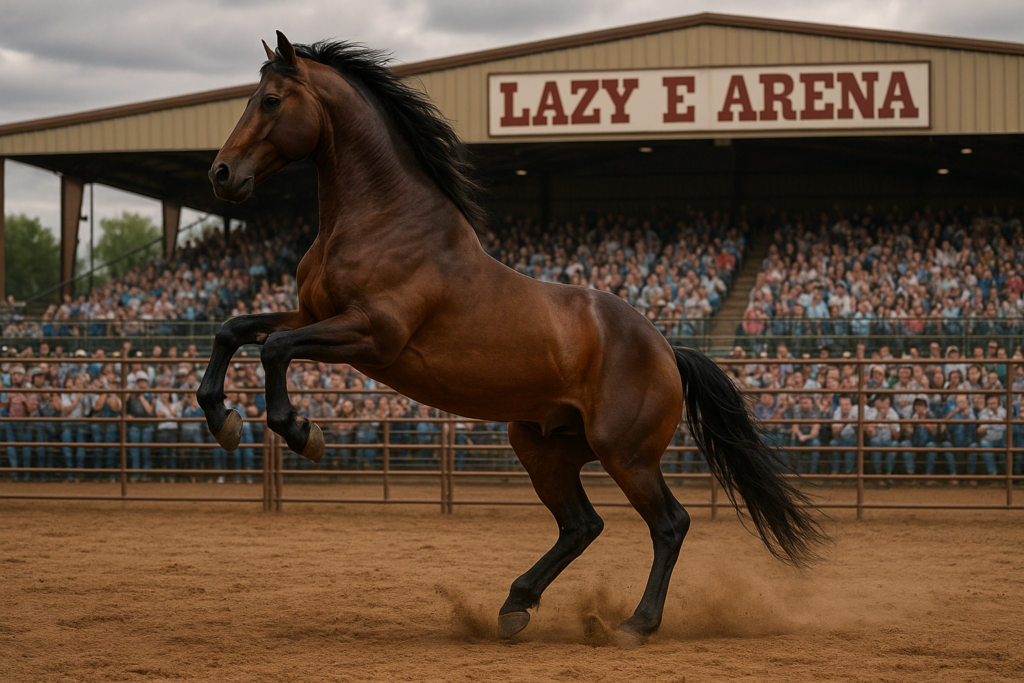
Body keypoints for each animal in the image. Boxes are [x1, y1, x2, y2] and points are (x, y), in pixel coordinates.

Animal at [198, 31, 826, 644]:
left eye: (271, 101)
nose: (221, 176)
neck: (382, 223)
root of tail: (667, 349)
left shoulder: (374, 336)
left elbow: (274, 351)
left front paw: (302, 432)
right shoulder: (311, 313)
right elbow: (234, 331)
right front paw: (222, 419)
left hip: (626, 453)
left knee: (669, 524)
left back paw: (633, 624)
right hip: (542, 445)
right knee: (582, 524)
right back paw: (515, 606)